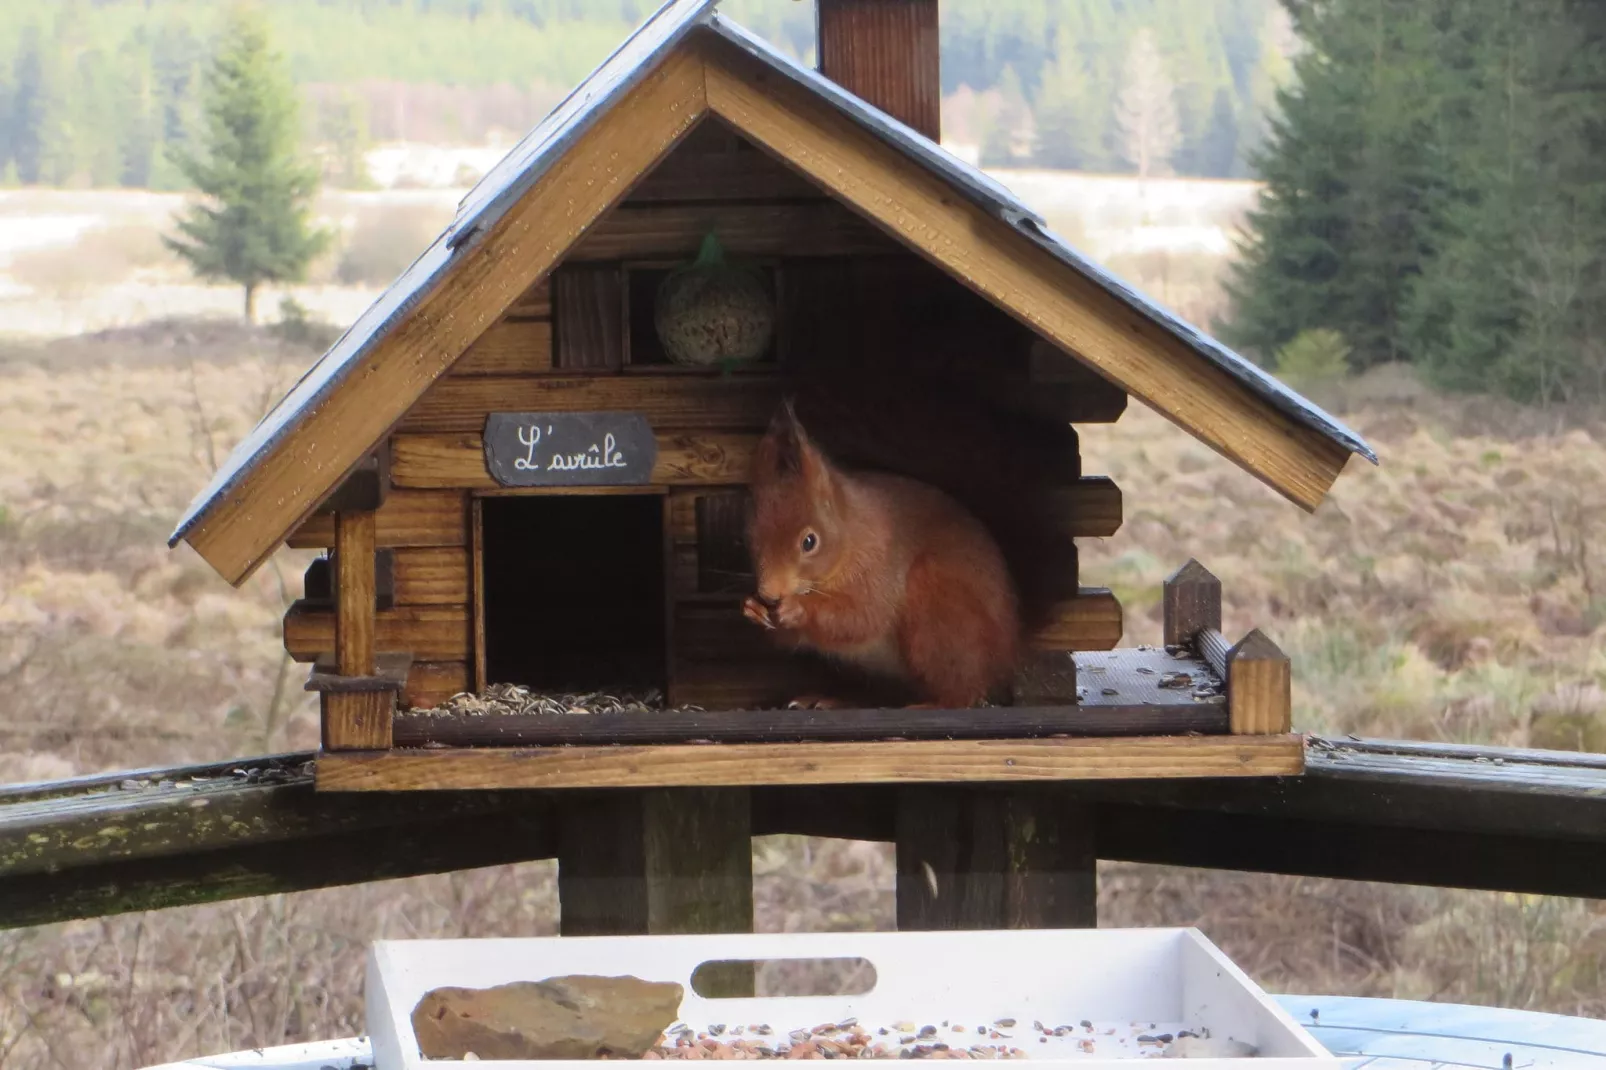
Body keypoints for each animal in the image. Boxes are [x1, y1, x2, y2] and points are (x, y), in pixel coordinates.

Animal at [741, 401, 1021, 706]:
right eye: (749, 535)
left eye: (809, 542)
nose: (770, 594)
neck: (851, 536)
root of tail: (1008, 657)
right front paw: (753, 608)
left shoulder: (878, 567)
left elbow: (861, 616)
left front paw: (798, 607)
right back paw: (828, 699)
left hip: (941, 615)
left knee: (963, 692)